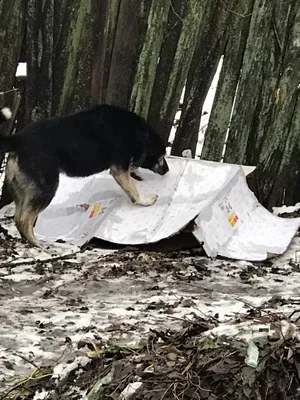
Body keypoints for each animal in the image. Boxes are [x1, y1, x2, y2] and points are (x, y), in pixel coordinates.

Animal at [0, 104, 169, 245]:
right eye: (161, 157)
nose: (167, 170)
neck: (137, 131)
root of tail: (18, 139)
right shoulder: (119, 169)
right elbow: (133, 189)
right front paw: (145, 200)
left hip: (24, 192)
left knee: (19, 217)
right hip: (46, 189)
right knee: (23, 220)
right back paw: (37, 243)